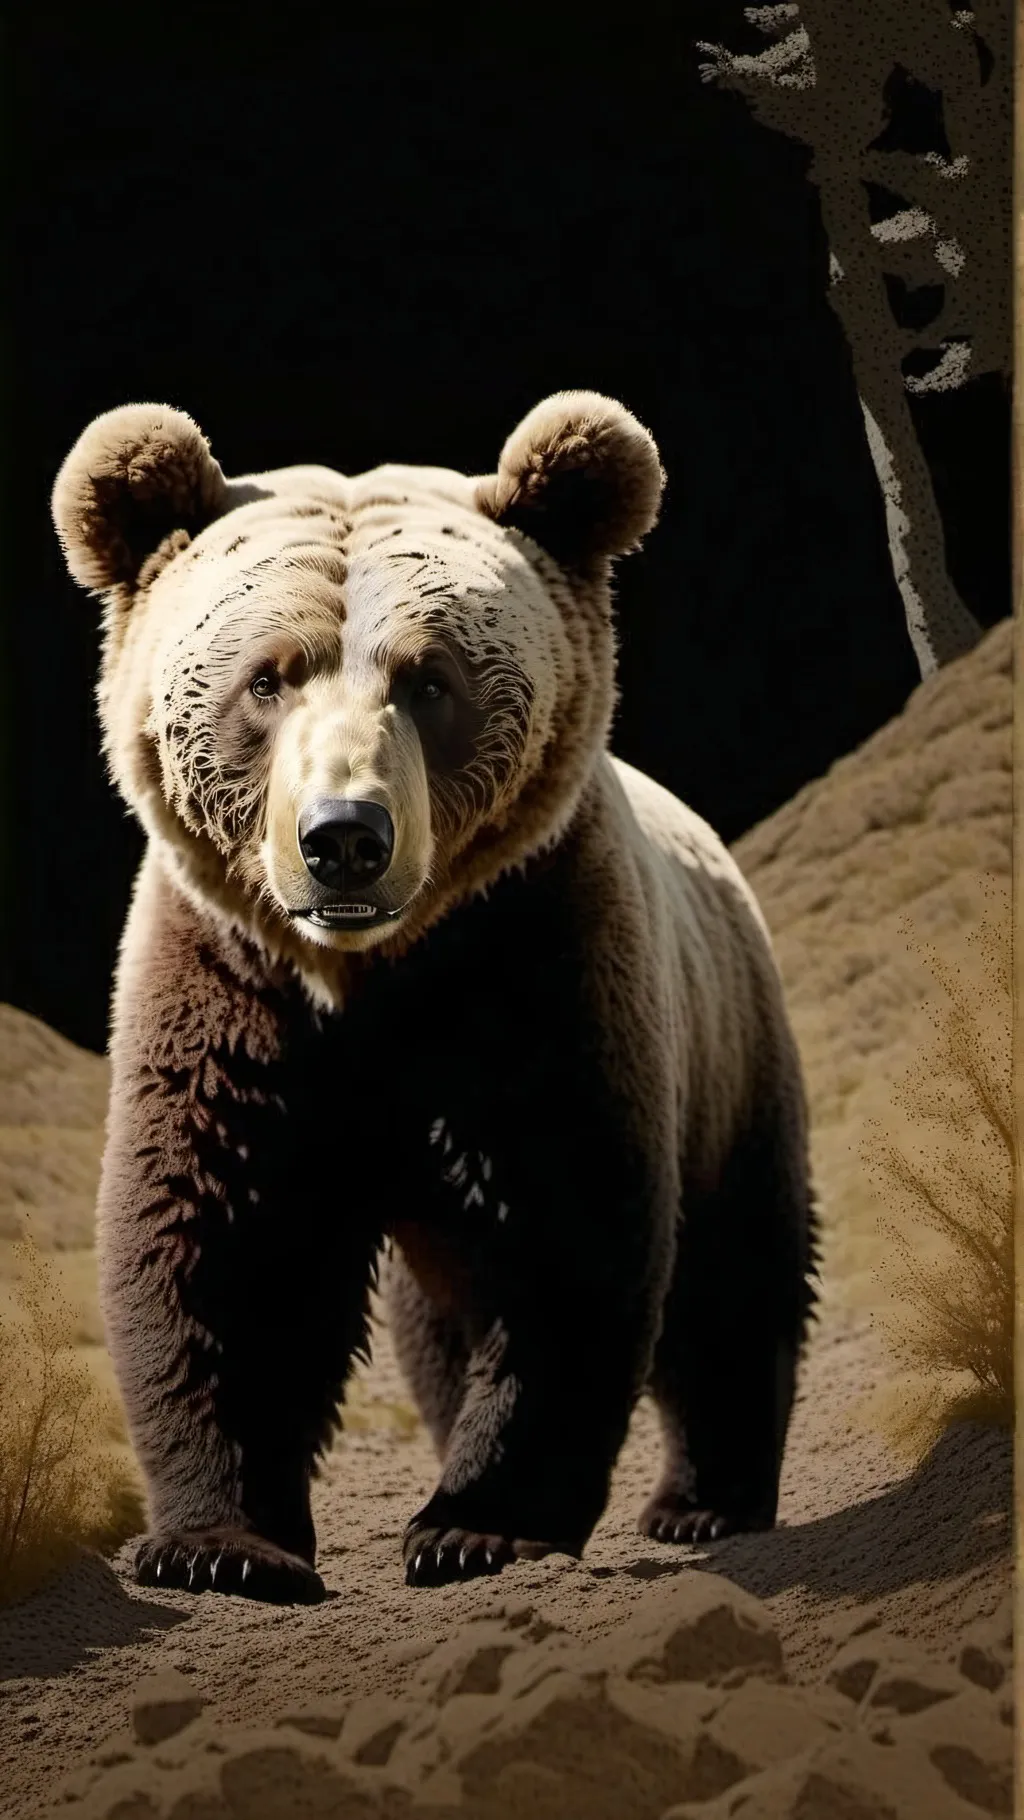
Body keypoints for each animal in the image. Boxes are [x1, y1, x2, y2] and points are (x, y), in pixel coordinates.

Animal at [51, 391, 819, 1604]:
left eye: (430, 679)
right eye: (266, 676)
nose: (343, 837)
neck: (371, 976)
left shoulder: (535, 953)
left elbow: (565, 1231)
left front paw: (476, 1526)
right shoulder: (229, 988)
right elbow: (226, 1241)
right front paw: (222, 1543)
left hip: (730, 1036)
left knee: (733, 1269)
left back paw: (705, 1499)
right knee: (444, 1310)